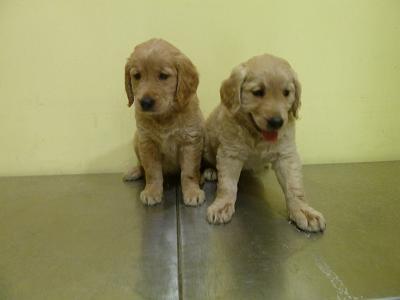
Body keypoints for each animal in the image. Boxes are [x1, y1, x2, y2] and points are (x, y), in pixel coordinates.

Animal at [124, 38, 206, 207]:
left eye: (163, 76)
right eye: (137, 76)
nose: (145, 102)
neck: (165, 116)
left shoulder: (190, 141)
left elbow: (189, 171)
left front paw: (192, 192)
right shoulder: (147, 142)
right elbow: (152, 171)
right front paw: (152, 191)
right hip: (136, 139)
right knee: (142, 166)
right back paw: (135, 171)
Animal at [205, 53, 326, 232]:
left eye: (286, 93)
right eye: (258, 92)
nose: (277, 122)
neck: (257, 136)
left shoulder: (286, 155)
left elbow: (294, 186)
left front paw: (303, 211)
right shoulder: (230, 154)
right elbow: (227, 185)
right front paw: (222, 206)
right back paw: (210, 170)